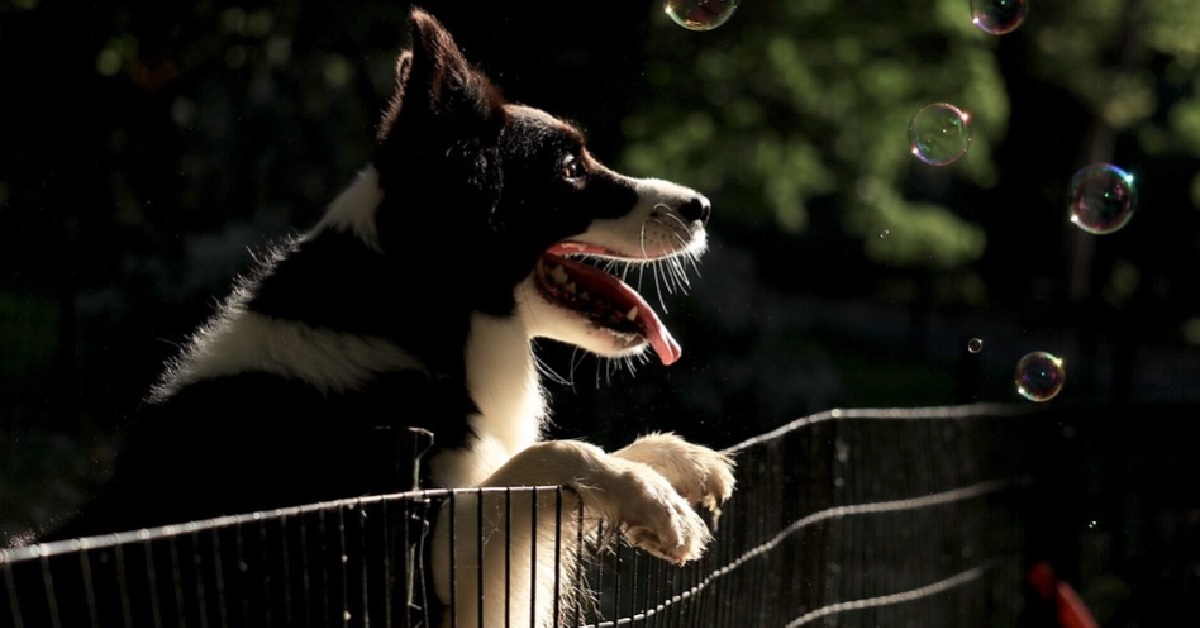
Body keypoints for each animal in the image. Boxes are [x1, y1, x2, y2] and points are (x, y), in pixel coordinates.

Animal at [30, 6, 729, 628]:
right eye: (568, 169)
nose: (702, 206)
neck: (416, 311)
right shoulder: (410, 564)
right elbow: (547, 456)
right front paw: (651, 498)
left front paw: (677, 461)